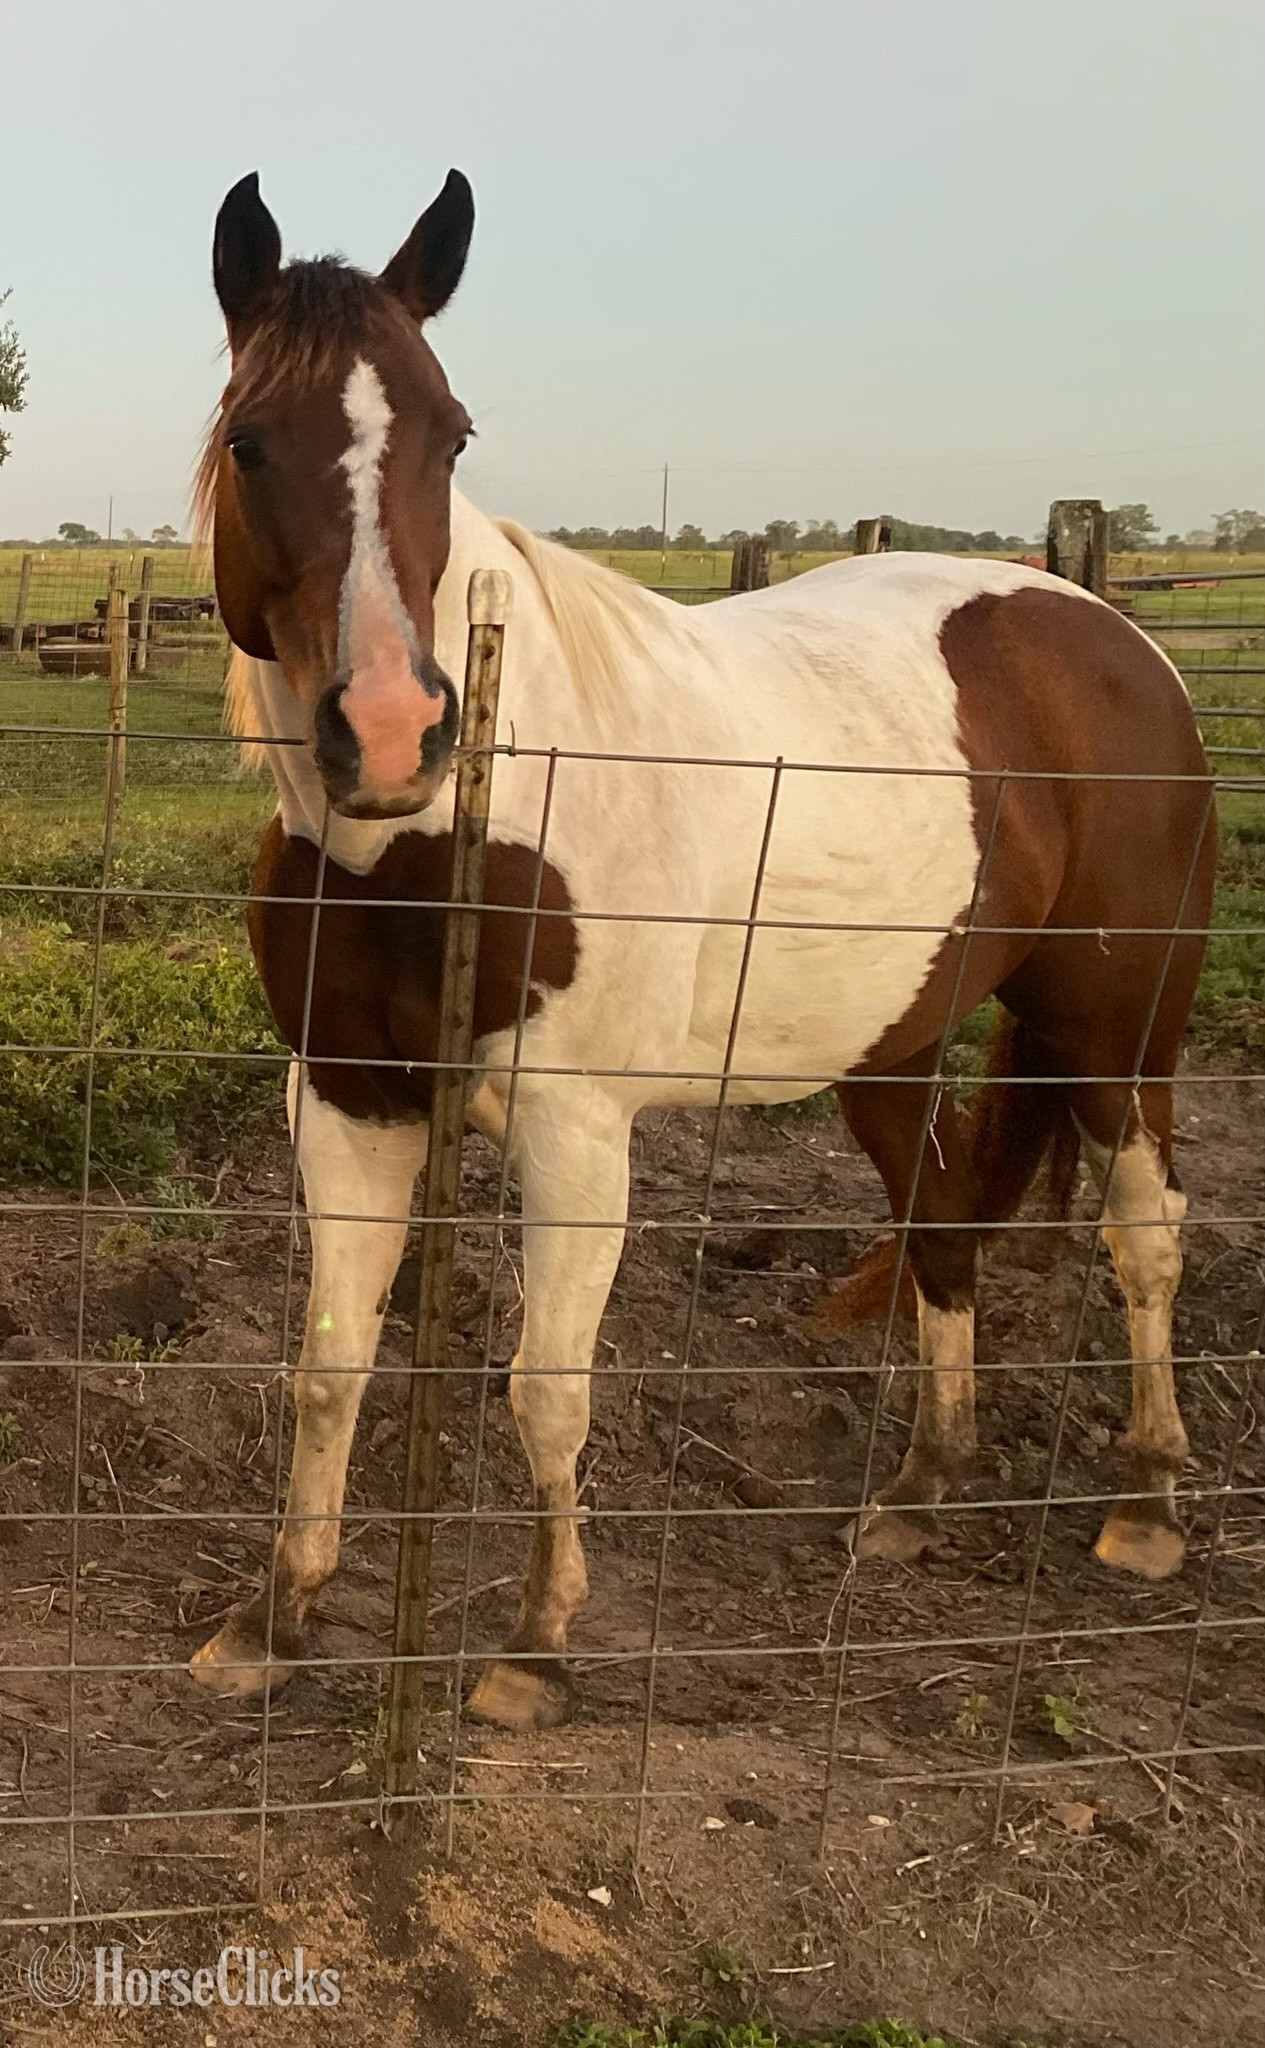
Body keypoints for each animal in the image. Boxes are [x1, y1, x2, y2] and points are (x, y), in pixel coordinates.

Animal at [188, 169, 1216, 1731]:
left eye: (451, 433)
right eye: (251, 440)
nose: (391, 732)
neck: (448, 832)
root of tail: (1106, 634)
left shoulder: (573, 1130)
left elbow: (545, 1386)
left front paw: (536, 1644)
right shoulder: (351, 1103)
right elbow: (326, 1368)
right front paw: (273, 1616)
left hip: (1114, 1031)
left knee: (1142, 1236)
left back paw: (1148, 1501)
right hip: (893, 1048)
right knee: (940, 1228)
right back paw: (920, 1487)